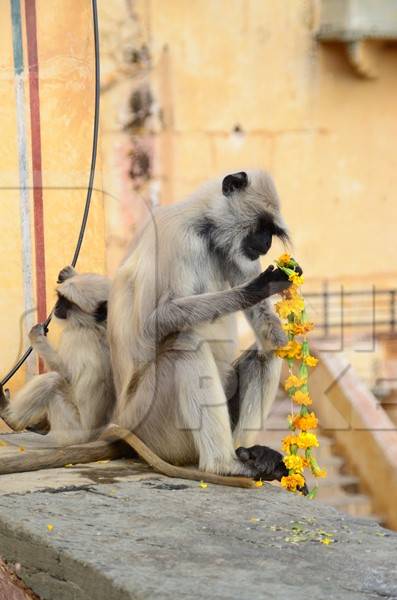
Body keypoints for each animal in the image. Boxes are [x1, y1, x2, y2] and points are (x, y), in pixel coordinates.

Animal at [0, 268, 114, 446]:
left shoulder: (79, 336)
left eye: (67, 303)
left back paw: (11, 419)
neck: (96, 326)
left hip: (70, 428)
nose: (58, 306)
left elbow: (65, 373)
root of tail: (93, 436)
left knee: (52, 380)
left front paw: (37, 335)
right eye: (61, 298)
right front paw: (69, 273)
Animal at [108, 169, 300, 482]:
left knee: (267, 354)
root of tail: (123, 420)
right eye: (261, 227)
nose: (266, 244)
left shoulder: (238, 253)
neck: (208, 232)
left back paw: (247, 455)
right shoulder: (176, 236)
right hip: (152, 420)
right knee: (186, 342)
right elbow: (152, 323)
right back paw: (223, 464)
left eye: (270, 232)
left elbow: (272, 340)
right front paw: (258, 288)